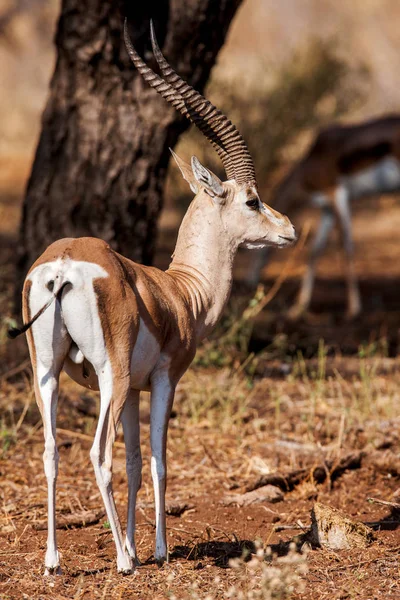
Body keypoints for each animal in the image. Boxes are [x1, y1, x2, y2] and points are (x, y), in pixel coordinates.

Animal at [10, 23, 296, 576]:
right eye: (252, 200)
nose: (289, 230)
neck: (182, 292)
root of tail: (63, 265)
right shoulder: (163, 379)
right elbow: (160, 458)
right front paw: (156, 550)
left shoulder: (136, 392)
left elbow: (137, 462)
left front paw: (140, 543)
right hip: (109, 376)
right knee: (97, 454)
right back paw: (122, 561)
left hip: (47, 372)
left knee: (52, 451)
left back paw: (55, 560)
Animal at [250, 113, 400, 318]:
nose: (250, 280)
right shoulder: (326, 208)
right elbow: (315, 250)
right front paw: (298, 307)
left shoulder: (337, 194)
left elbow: (346, 246)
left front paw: (353, 308)